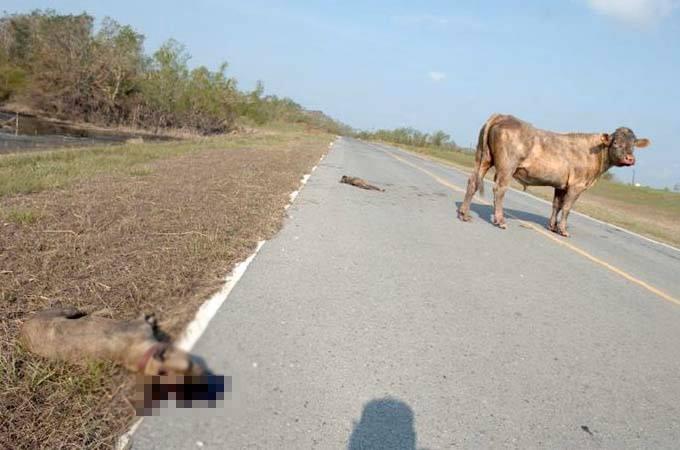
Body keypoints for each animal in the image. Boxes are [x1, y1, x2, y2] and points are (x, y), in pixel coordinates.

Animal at [21, 308, 205, 378]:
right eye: (189, 365)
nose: (202, 372)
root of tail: (24, 327)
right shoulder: (139, 329)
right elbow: (142, 321)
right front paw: (150, 317)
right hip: (60, 310)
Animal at [456, 114, 648, 237]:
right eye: (616, 143)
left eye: (633, 145)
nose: (630, 159)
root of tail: (503, 116)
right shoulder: (577, 185)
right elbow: (567, 208)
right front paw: (563, 230)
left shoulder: (561, 185)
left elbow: (556, 205)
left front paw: (552, 227)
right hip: (506, 166)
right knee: (499, 189)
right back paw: (500, 220)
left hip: (483, 158)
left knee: (473, 181)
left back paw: (464, 214)